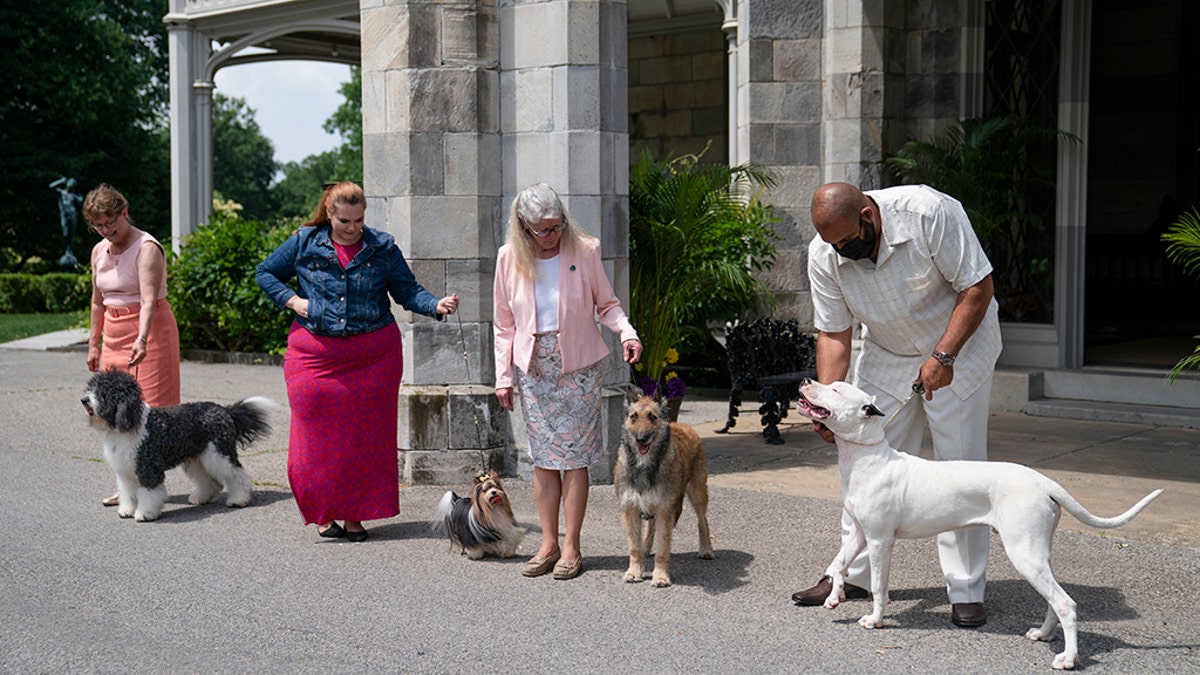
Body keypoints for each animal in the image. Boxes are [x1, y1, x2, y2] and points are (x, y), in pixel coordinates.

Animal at [83, 367, 274, 521]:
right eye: (91, 387)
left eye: (103, 392)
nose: (84, 400)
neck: (130, 425)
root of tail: (225, 410)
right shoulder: (126, 472)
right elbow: (128, 493)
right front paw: (126, 511)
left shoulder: (148, 467)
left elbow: (149, 493)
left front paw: (145, 514)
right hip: (198, 457)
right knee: (210, 480)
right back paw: (201, 498)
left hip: (219, 453)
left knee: (237, 475)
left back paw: (239, 499)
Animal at [619, 389, 710, 583]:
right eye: (633, 417)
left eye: (652, 417)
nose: (641, 439)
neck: (644, 465)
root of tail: (684, 425)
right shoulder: (631, 509)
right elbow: (634, 547)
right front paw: (634, 571)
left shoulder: (665, 510)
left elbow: (662, 548)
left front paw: (660, 577)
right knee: (651, 527)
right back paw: (646, 547)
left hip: (697, 492)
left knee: (702, 521)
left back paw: (706, 549)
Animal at [796, 379, 1161, 667]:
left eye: (835, 390)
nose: (806, 380)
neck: (867, 456)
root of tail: (1043, 481)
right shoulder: (859, 533)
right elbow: (838, 563)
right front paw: (834, 595)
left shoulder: (879, 540)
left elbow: (877, 587)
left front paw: (874, 620)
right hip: (1037, 552)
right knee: (1053, 600)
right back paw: (1043, 634)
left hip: (1023, 552)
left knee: (1066, 603)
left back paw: (1068, 659)